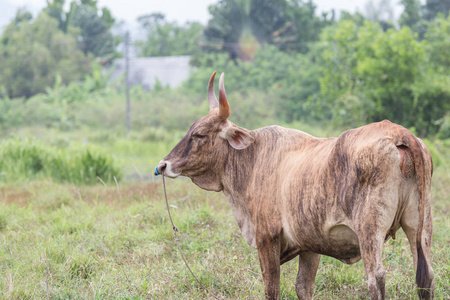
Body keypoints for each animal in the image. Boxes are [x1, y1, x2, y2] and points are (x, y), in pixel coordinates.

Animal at [155, 72, 432, 300]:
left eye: (200, 134)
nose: (163, 165)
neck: (252, 159)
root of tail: (398, 133)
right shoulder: (310, 245)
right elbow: (303, 287)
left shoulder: (267, 237)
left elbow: (272, 289)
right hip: (419, 226)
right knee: (425, 275)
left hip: (369, 230)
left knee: (376, 279)